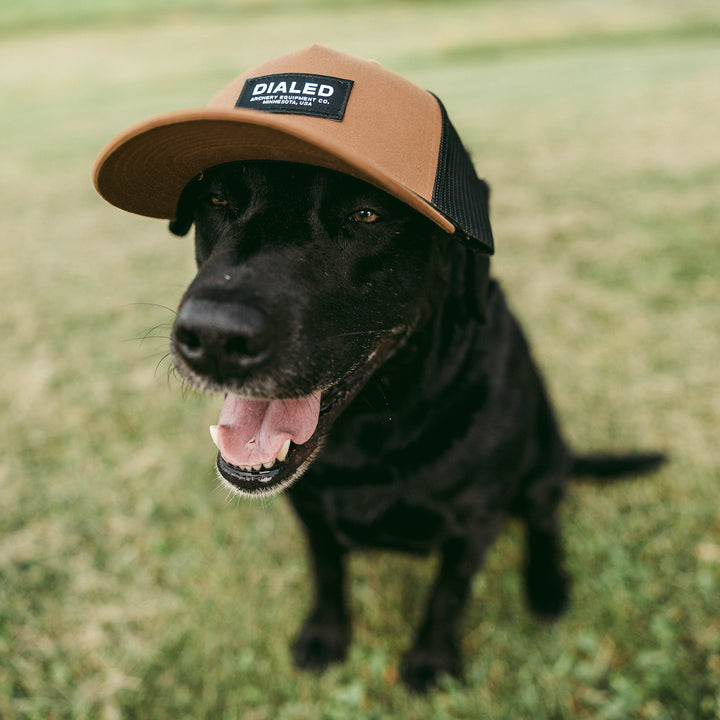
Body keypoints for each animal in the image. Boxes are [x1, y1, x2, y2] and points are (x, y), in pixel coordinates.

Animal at [169, 159, 664, 692]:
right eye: (217, 200)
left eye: (366, 214)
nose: (214, 337)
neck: (375, 427)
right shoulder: (312, 511)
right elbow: (327, 573)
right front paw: (325, 635)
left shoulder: (475, 523)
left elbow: (448, 596)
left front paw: (432, 660)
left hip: (545, 457)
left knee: (545, 518)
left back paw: (547, 584)